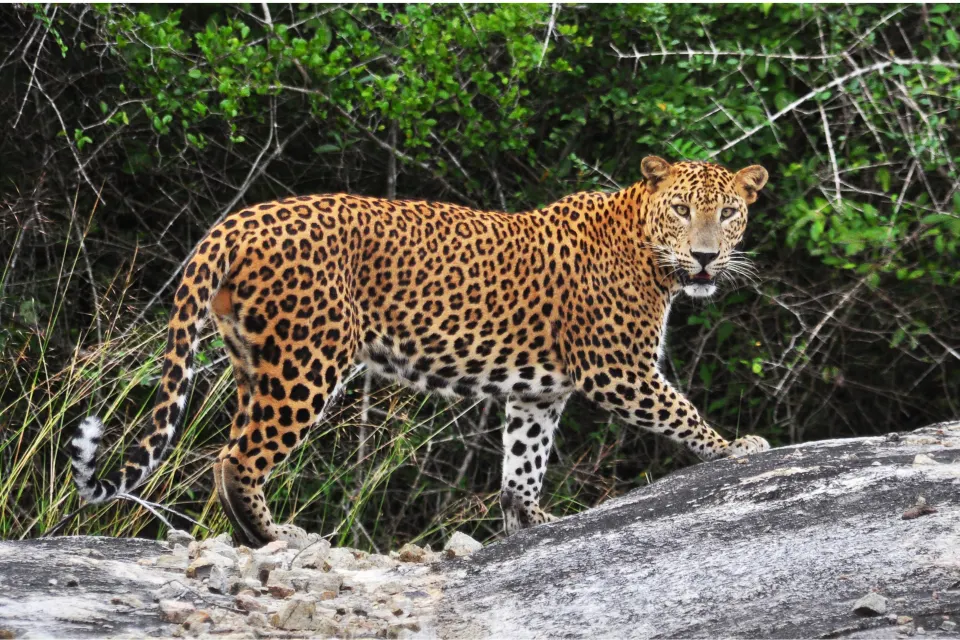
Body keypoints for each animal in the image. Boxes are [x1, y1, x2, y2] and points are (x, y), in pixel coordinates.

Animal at [69, 155, 771, 547]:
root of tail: (238, 220)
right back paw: (274, 537)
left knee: (232, 449)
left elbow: (522, 464)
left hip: (254, 362)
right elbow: (681, 411)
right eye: (681, 210)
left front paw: (529, 522)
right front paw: (738, 447)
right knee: (237, 458)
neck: (652, 254)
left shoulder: (538, 393)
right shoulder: (617, 368)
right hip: (307, 359)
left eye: (729, 212)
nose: (705, 256)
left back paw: (257, 536)